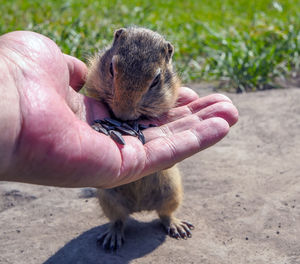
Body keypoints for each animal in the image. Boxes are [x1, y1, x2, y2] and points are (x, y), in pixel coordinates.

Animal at [84, 26, 193, 250]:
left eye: (156, 80)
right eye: (111, 68)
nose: (123, 115)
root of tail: (140, 207)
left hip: (172, 192)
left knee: (165, 214)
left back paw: (176, 225)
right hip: (108, 199)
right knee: (118, 220)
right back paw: (113, 235)